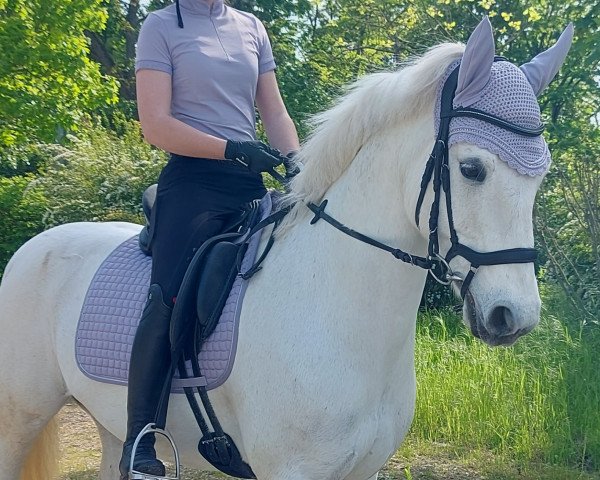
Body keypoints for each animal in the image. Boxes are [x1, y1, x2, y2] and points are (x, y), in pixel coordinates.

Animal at [0, 17, 572, 480]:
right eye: (472, 168)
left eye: (541, 177)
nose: (513, 316)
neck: (334, 309)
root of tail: (34, 245)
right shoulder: (291, 469)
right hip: (20, 419)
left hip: (110, 424)